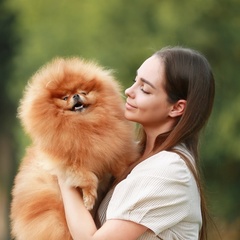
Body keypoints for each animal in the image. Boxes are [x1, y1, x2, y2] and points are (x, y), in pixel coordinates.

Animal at [10, 58, 139, 240]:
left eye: (83, 92)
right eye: (65, 97)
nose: (76, 96)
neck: (84, 124)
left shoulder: (113, 150)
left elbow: (120, 162)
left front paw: (124, 173)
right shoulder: (67, 164)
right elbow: (89, 177)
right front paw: (89, 199)